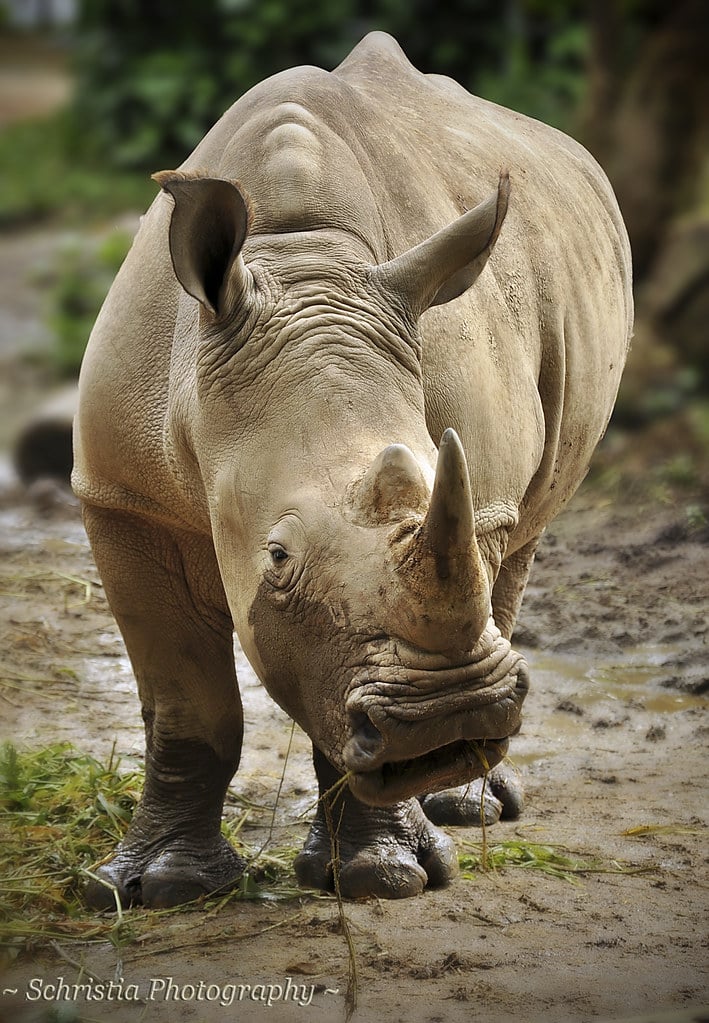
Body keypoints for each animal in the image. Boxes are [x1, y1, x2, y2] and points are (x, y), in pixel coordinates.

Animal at [73, 32, 632, 908]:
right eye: (275, 556)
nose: (444, 724)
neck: (298, 261)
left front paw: (380, 876)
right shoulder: (123, 497)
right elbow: (187, 706)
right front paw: (155, 887)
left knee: (525, 528)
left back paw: (469, 802)